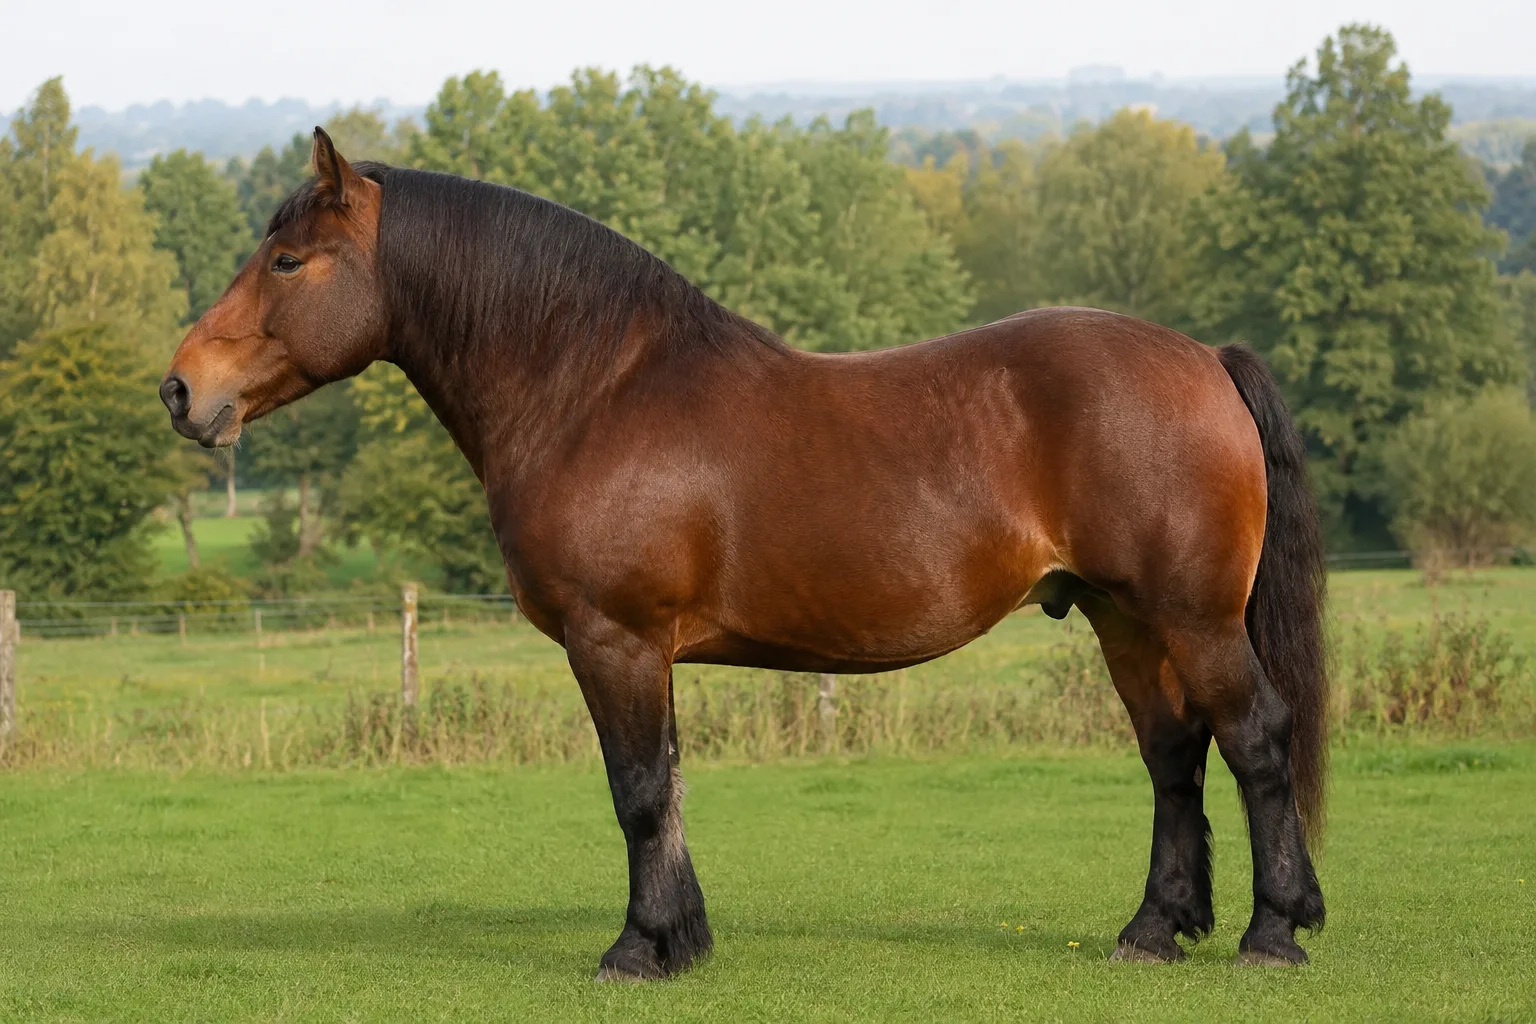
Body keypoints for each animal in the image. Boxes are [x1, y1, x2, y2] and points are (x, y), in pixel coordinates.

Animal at [160, 129, 1328, 979]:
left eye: (288, 260)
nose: (180, 388)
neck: (596, 390)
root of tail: (1203, 359)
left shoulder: (615, 641)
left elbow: (637, 789)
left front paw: (639, 950)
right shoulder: (646, 651)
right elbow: (668, 787)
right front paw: (684, 937)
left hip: (1192, 618)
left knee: (1256, 738)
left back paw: (1272, 932)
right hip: (1123, 617)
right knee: (1174, 755)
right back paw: (1152, 930)